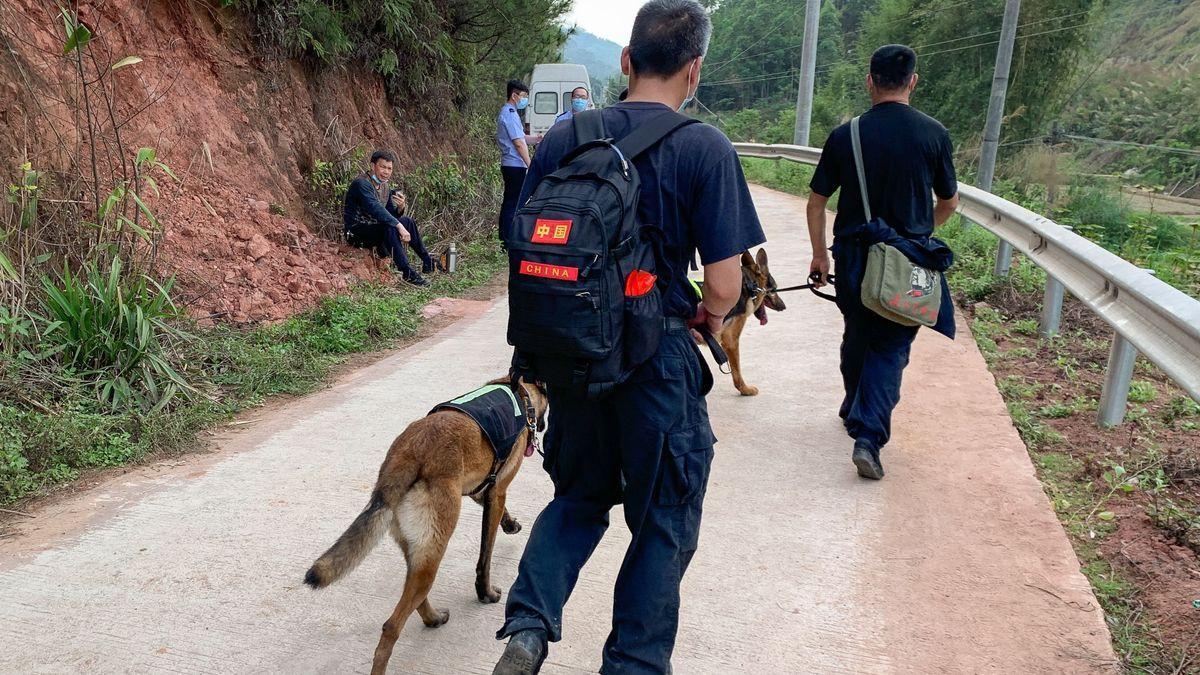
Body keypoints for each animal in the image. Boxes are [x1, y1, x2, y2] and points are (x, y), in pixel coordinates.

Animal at [302, 374, 547, 667]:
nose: (542, 430)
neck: (520, 394)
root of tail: (404, 456)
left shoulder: (480, 490)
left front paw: (511, 524)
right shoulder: (497, 492)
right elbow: (485, 558)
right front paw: (485, 593)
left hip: (420, 551)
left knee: (415, 596)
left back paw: (433, 618)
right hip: (434, 548)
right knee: (391, 626)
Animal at [715, 247, 782, 393]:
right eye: (774, 289)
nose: (783, 306)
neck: (748, 286)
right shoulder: (731, 341)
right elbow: (737, 372)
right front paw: (744, 390)